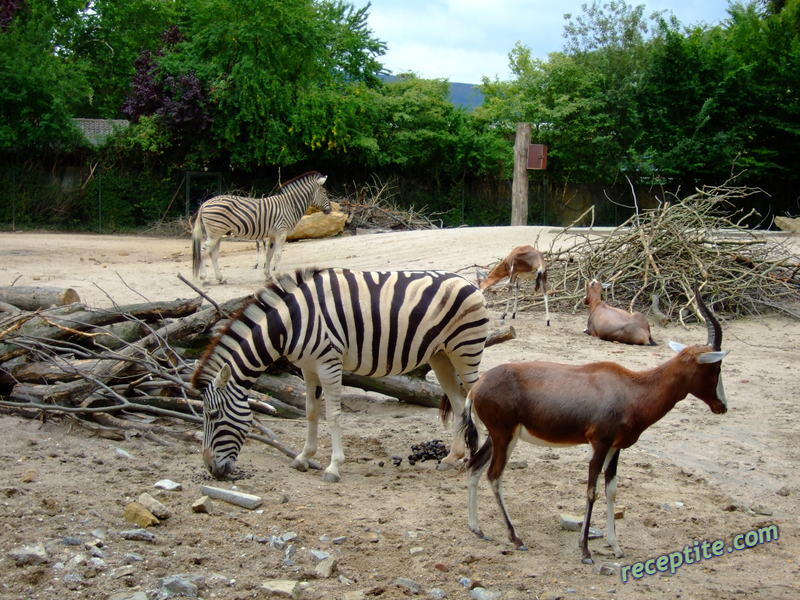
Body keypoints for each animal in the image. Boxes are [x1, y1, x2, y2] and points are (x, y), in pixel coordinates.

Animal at [191, 172, 328, 284]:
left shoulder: (273, 235)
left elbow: (269, 255)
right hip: (215, 233)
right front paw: (279, 276)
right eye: (325, 192)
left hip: (218, 234)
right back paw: (204, 278)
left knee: (213, 254)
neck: (289, 205)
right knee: (203, 252)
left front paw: (268, 276)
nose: (330, 210)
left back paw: (220, 278)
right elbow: (278, 255)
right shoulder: (281, 233)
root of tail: (205, 203)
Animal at [194, 268, 490, 482]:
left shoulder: (328, 362)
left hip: (465, 350)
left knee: (475, 395)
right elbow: (311, 410)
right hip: (440, 355)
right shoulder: (308, 366)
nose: (210, 469)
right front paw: (304, 457)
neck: (291, 323)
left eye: (212, 415)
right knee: (457, 402)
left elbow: (333, 414)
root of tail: (468, 281)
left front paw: (333, 467)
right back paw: (452, 458)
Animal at [456, 288, 724, 564]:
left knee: (475, 466)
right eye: (716, 366)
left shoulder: (615, 448)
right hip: (504, 436)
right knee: (494, 475)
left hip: (500, 437)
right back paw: (516, 538)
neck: (631, 386)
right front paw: (585, 551)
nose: (721, 406)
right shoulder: (599, 444)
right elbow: (591, 490)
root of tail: (477, 387)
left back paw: (477, 529)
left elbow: (611, 490)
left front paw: (616, 547)